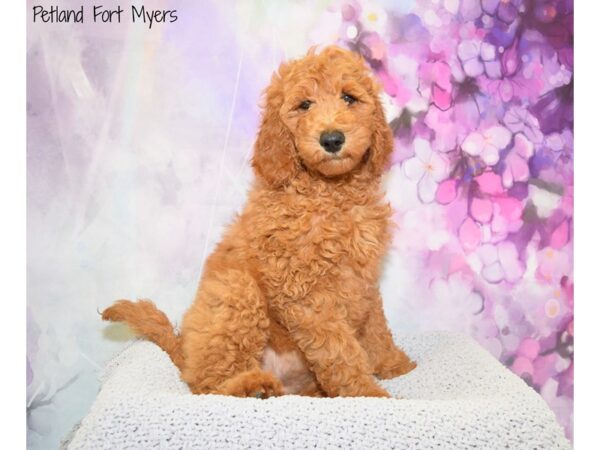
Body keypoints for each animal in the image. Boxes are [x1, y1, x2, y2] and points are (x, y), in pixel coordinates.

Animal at [101, 45, 414, 398]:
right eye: (304, 105)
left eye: (349, 98)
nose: (332, 139)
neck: (332, 195)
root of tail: (184, 354)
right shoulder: (305, 294)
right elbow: (339, 349)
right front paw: (367, 392)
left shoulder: (365, 279)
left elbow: (375, 328)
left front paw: (393, 364)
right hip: (236, 293)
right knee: (206, 385)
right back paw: (251, 385)